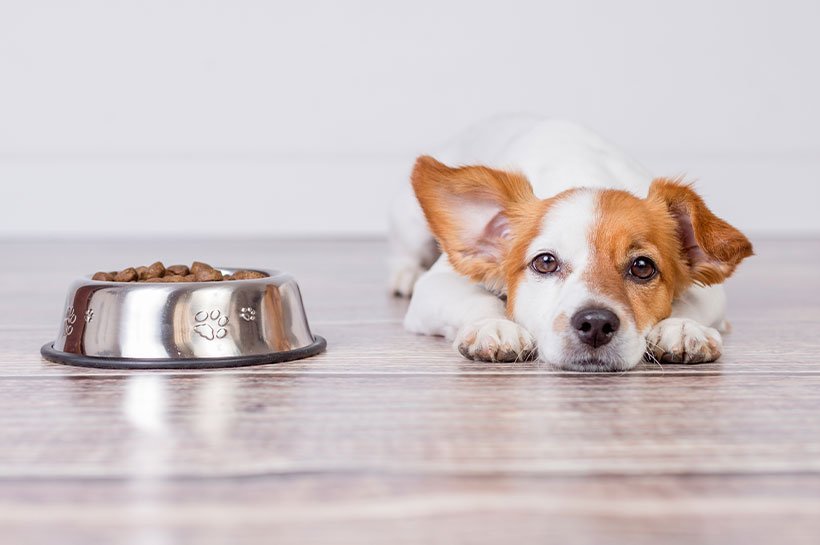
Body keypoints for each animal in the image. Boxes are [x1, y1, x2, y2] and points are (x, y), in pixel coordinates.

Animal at [388, 114, 752, 370]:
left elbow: (690, 303)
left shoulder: (711, 292)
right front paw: (496, 325)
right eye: (545, 262)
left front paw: (682, 327)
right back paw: (403, 274)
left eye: (642, 267)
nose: (596, 323)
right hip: (411, 226)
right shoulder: (437, 284)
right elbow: (476, 299)